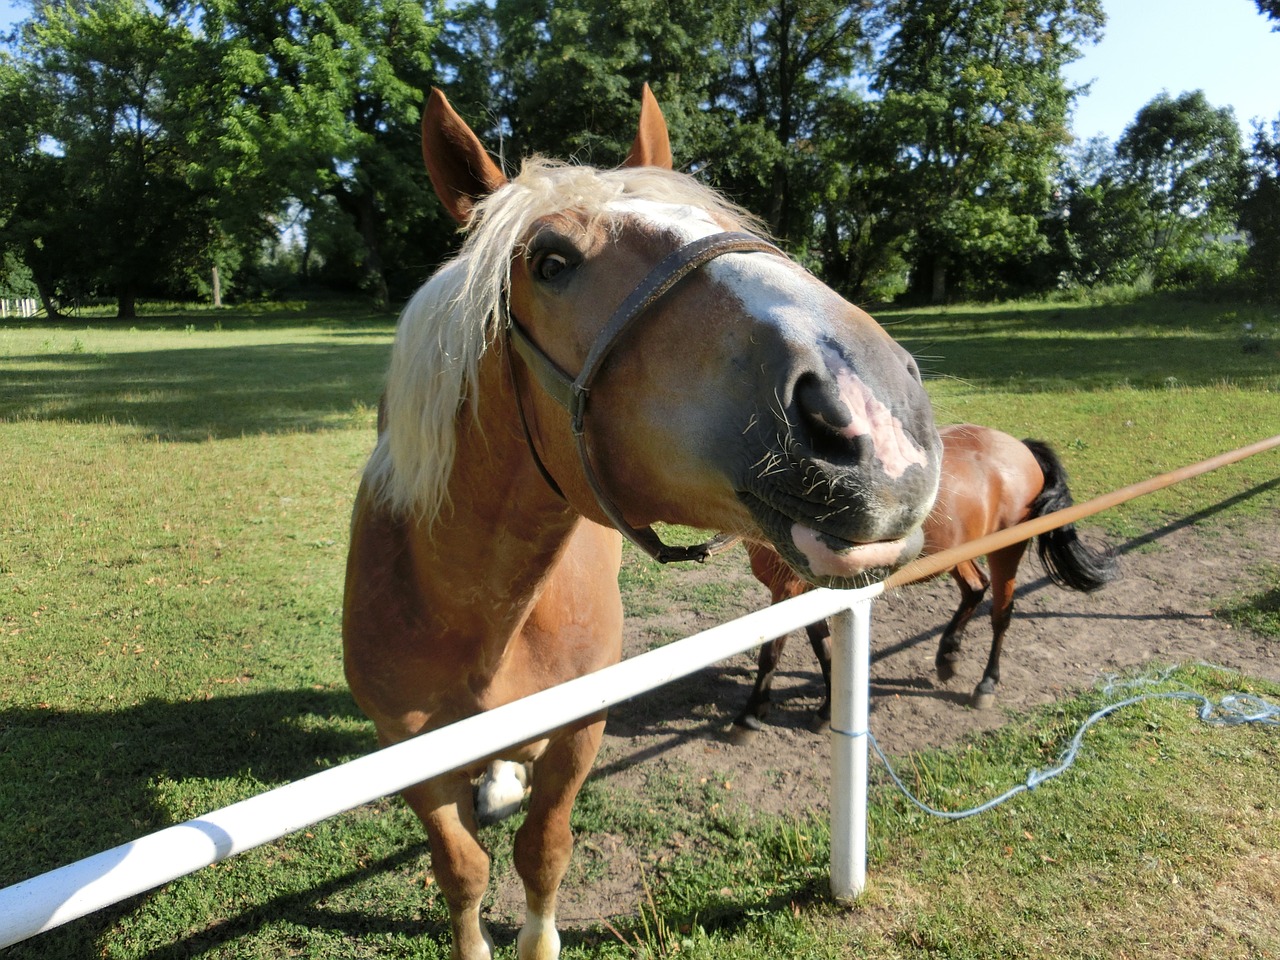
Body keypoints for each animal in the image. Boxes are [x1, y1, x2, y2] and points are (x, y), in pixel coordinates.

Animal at [340, 84, 942, 960]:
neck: (469, 605)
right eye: (551, 262)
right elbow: (462, 871)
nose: (872, 411)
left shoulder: (581, 728)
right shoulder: (407, 755)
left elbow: (542, 851)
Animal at [737, 422, 1116, 737]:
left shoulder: (788, 590)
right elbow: (825, 649)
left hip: (1006, 550)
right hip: (958, 552)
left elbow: (772, 651)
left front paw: (751, 715)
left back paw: (985, 685)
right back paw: (947, 655)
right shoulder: (805, 593)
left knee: (1001, 614)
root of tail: (1018, 446)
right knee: (975, 588)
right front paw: (827, 709)